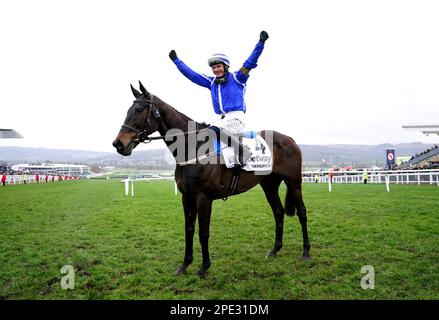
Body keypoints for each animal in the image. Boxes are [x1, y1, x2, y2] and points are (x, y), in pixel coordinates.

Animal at [113, 81, 312, 276]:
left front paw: (204, 267)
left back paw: (306, 251)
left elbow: (203, 232)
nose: (118, 144)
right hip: (269, 185)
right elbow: (189, 229)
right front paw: (185, 265)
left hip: (294, 182)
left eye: (139, 110)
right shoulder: (187, 197)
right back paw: (275, 249)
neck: (193, 147)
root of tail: (290, 139)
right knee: (278, 212)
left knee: (302, 212)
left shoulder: (204, 198)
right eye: (128, 110)